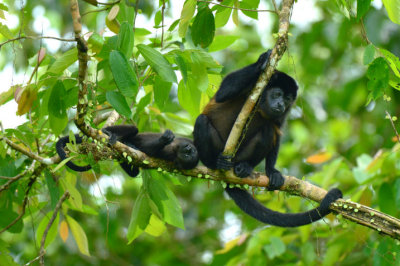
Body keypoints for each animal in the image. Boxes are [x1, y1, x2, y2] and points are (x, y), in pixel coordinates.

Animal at [55, 125, 199, 178]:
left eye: (188, 155)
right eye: (190, 151)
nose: (189, 149)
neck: (176, 149)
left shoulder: (169, 156)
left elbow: (148, 152)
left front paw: (163, 140)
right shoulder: (186, 139)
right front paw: (167, 137)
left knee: (134, 172)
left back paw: (127, 144)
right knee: (134, 128)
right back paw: (107, 131)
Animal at [192, 50, 342, 227]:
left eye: (288, 98)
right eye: (277, 94)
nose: (281, 104)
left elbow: (277, 132)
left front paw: (272, 171)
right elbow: (223, 93)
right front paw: (262, 61)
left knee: (268, 131)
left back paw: (244, 166)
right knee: (201, 121)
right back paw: (215, 163)